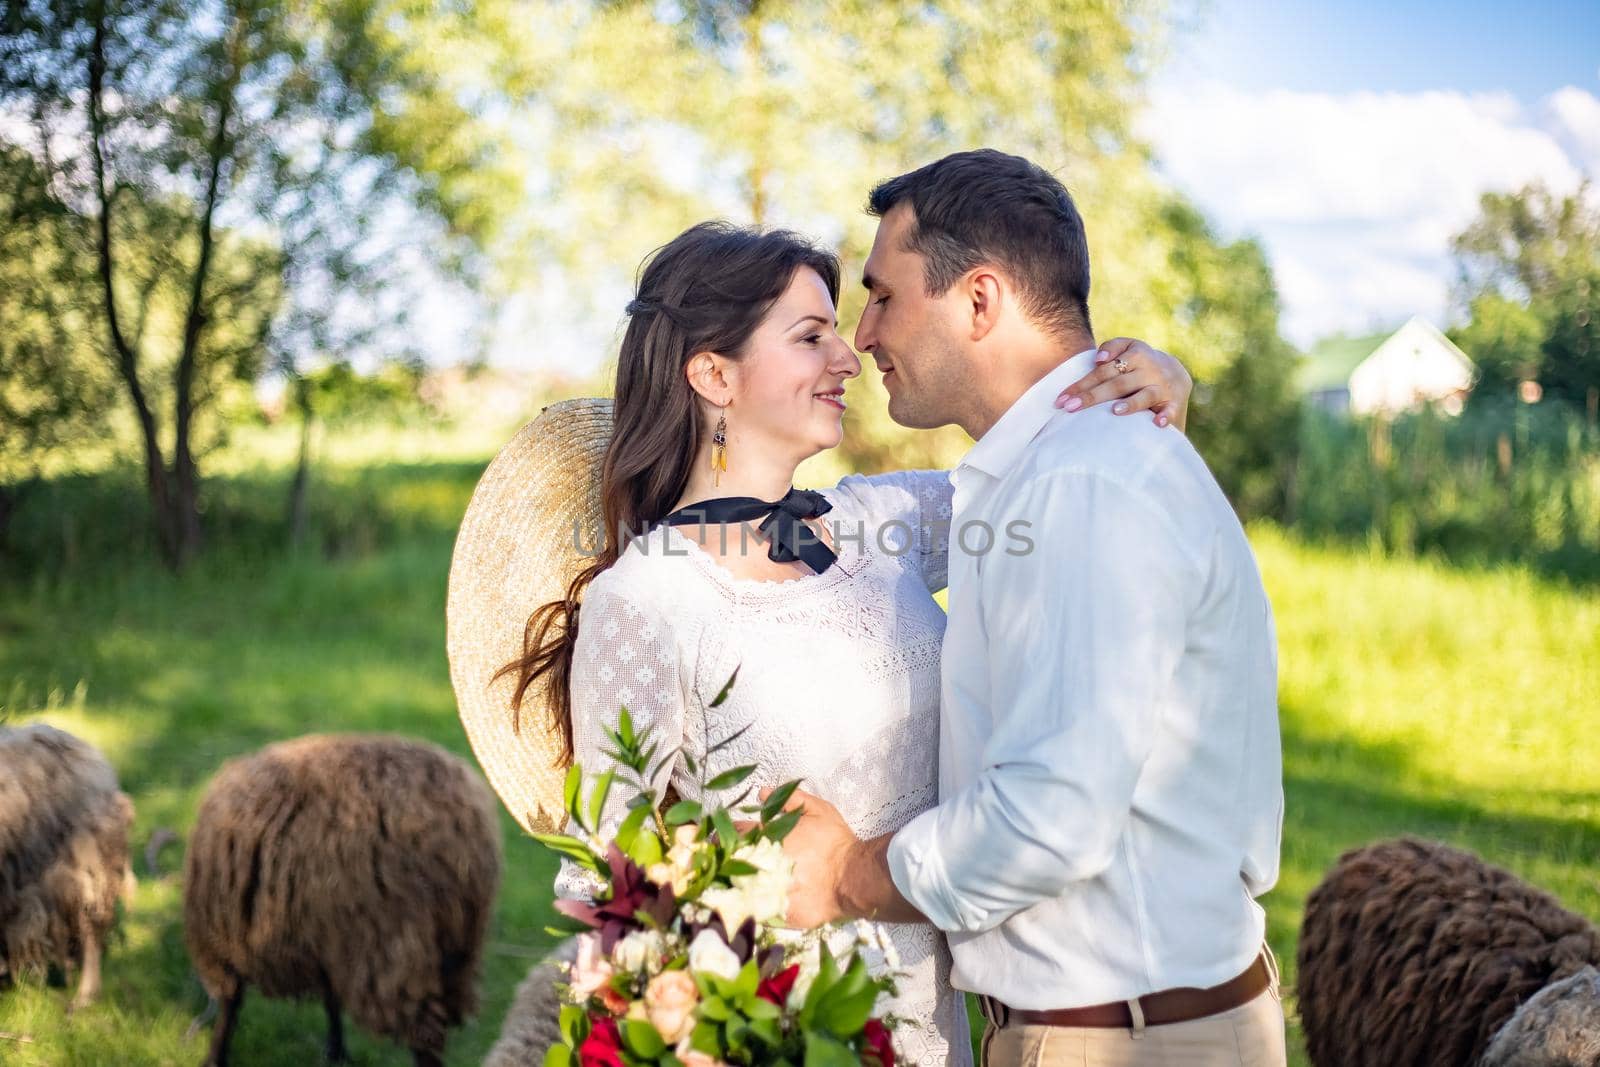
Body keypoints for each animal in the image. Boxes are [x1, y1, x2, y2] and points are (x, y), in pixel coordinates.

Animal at [180, 735, 499, 1067]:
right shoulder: (326, 937)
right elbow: (330, 998)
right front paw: (336, 1049)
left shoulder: (223, 939)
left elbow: (230, 1003)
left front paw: (215, 1056)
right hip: (459, 949)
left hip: (395, 944)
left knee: (426, 1037)